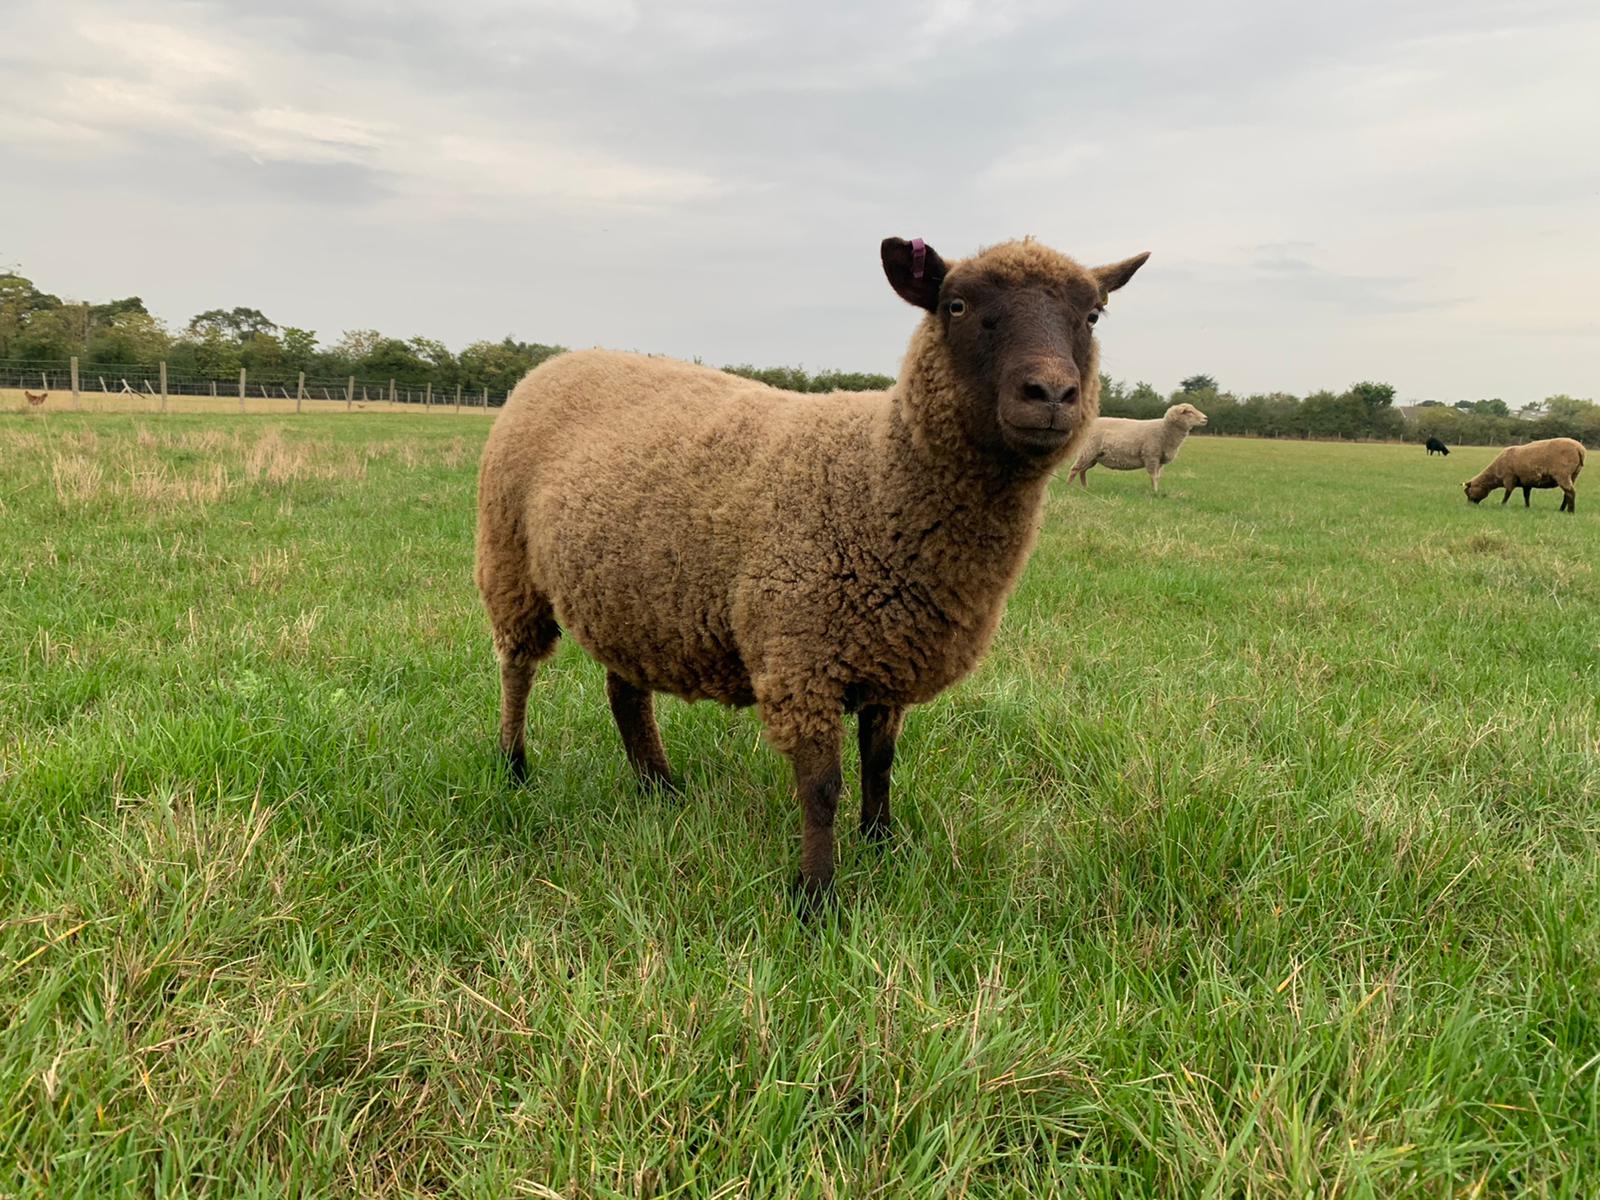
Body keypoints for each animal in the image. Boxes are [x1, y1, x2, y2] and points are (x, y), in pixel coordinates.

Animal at [473, 235, 1152, 908]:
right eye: (956, 305)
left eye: (1093, 315)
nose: (1052, 395)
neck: (875, 477)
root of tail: (559, 360)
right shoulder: (803, 660)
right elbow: (822, 788)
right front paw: (817, 899)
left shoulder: (888, 654)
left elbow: (881, 763)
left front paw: (882, 845)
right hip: (509, 559)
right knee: (517, 668)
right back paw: (514, 767)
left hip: (630, 593)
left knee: (625, 692)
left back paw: (659, 787)